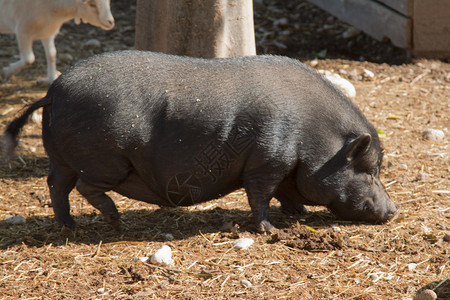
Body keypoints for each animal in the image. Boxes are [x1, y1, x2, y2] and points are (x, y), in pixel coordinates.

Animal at [2, 51, 398, 232]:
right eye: (370, 172)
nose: (394, 210)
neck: (314, 137)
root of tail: (53, 91)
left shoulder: (285, 168)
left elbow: (285, 192)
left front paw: (297, 213)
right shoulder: (266, 162)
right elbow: (260, 196)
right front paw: (270, 230)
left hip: (61, 158)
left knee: (56, 185)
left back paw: (69, 226)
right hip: (104, 160)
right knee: (84, 185)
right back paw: (115, 222)